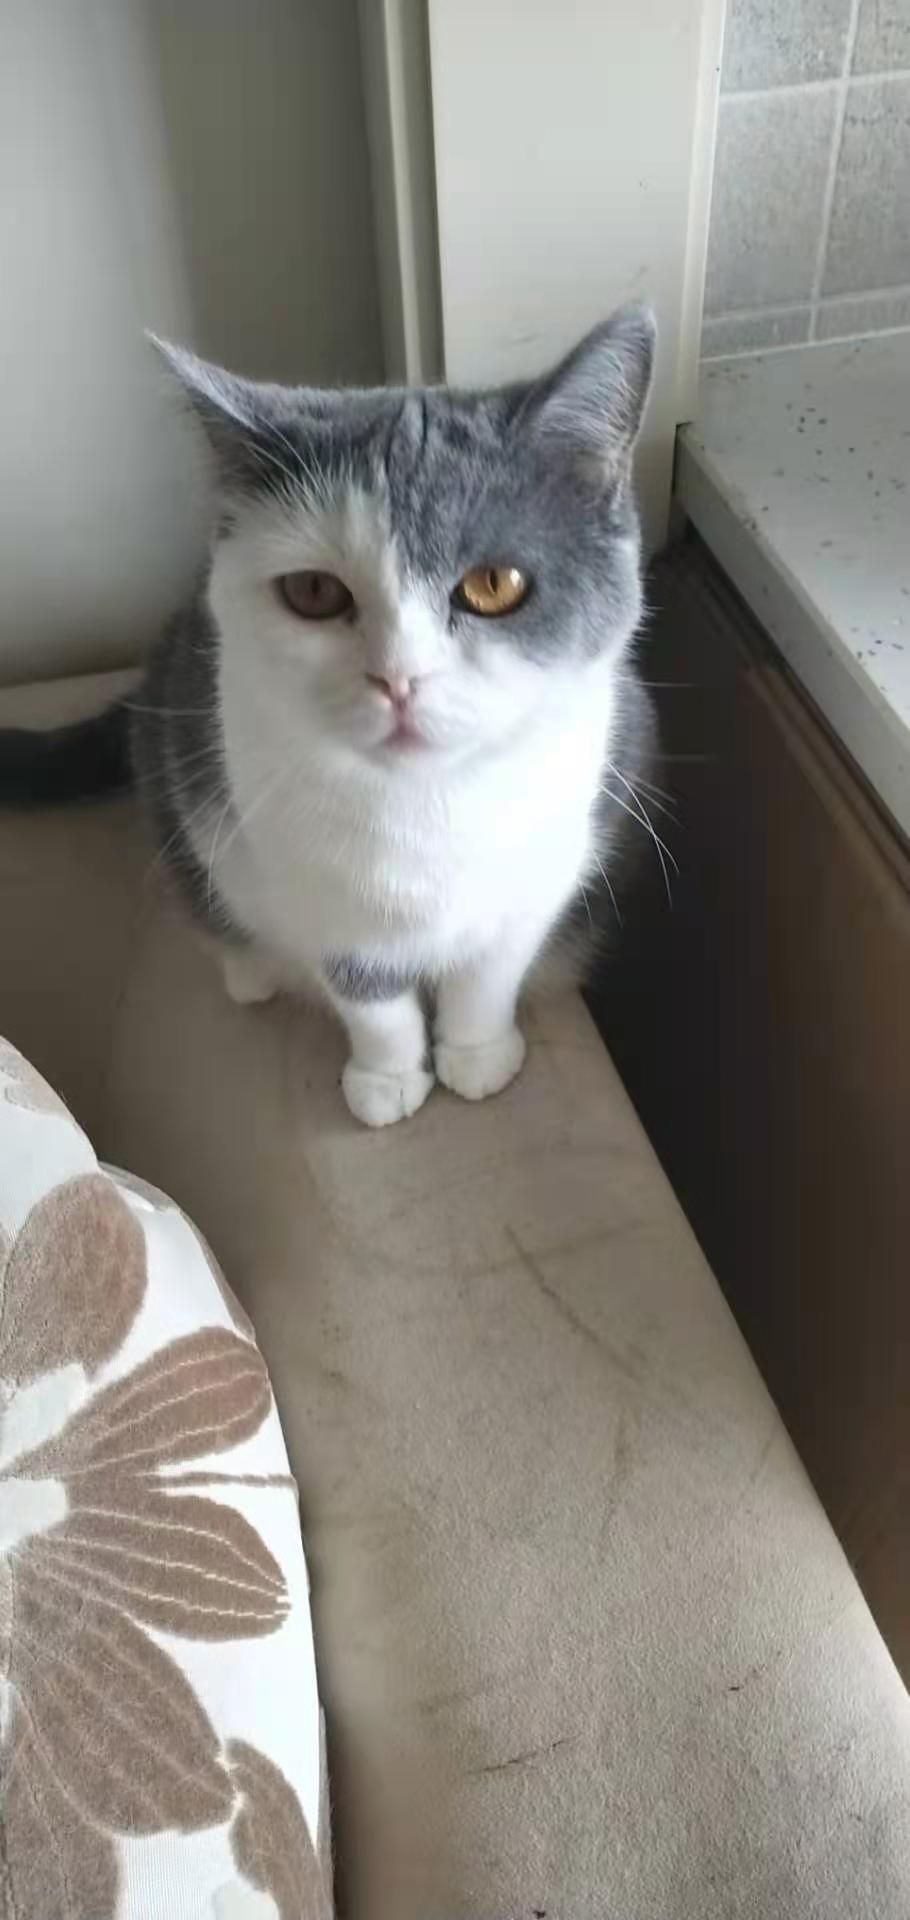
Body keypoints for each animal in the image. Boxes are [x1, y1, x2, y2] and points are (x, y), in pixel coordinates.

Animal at [0, 305, 659, 1127]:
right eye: (313, 591)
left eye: (495, 584)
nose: (399, 676)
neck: (427, 806)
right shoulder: (307, 886)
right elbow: (367, 993)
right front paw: (389, 1077)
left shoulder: (547, 867)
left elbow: (489, 973)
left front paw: (478, 1056)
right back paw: (250, 969)